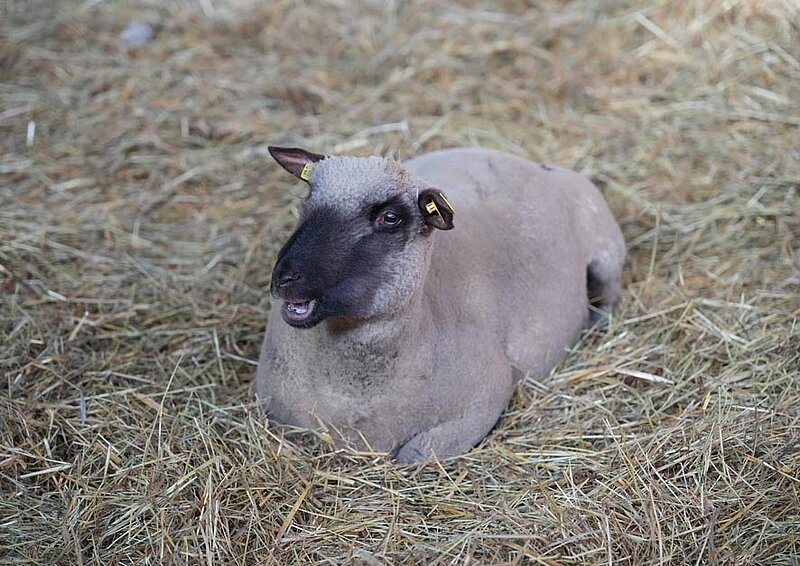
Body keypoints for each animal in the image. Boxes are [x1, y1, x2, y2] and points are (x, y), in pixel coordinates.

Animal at [257, 146, 625, 464]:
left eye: (390, 217)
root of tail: (535, 164)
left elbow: (413, 456)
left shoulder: (484, 399)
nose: (285, 277)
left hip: (607, 251)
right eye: (308, 197)